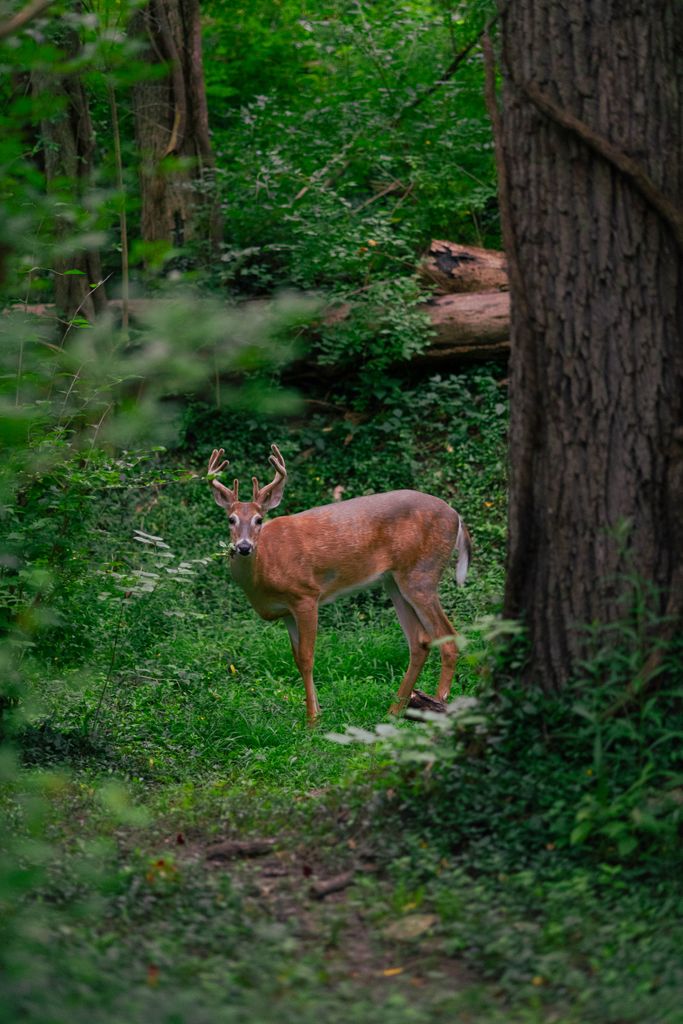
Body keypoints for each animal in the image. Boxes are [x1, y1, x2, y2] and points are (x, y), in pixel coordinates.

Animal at [207, 444, 471, 724]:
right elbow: (297, 659)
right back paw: (394, 711)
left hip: (422, 574)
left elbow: (307, 657)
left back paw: (438, 705)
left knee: (448, 637)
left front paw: (312, 720)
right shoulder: (286, 611)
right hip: (394, 581)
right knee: (419, 641)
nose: (244, 547)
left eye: (259, 519)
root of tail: (457, 516)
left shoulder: (305, 595)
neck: (264, 571)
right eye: (231, 519)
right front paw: (317, 711)